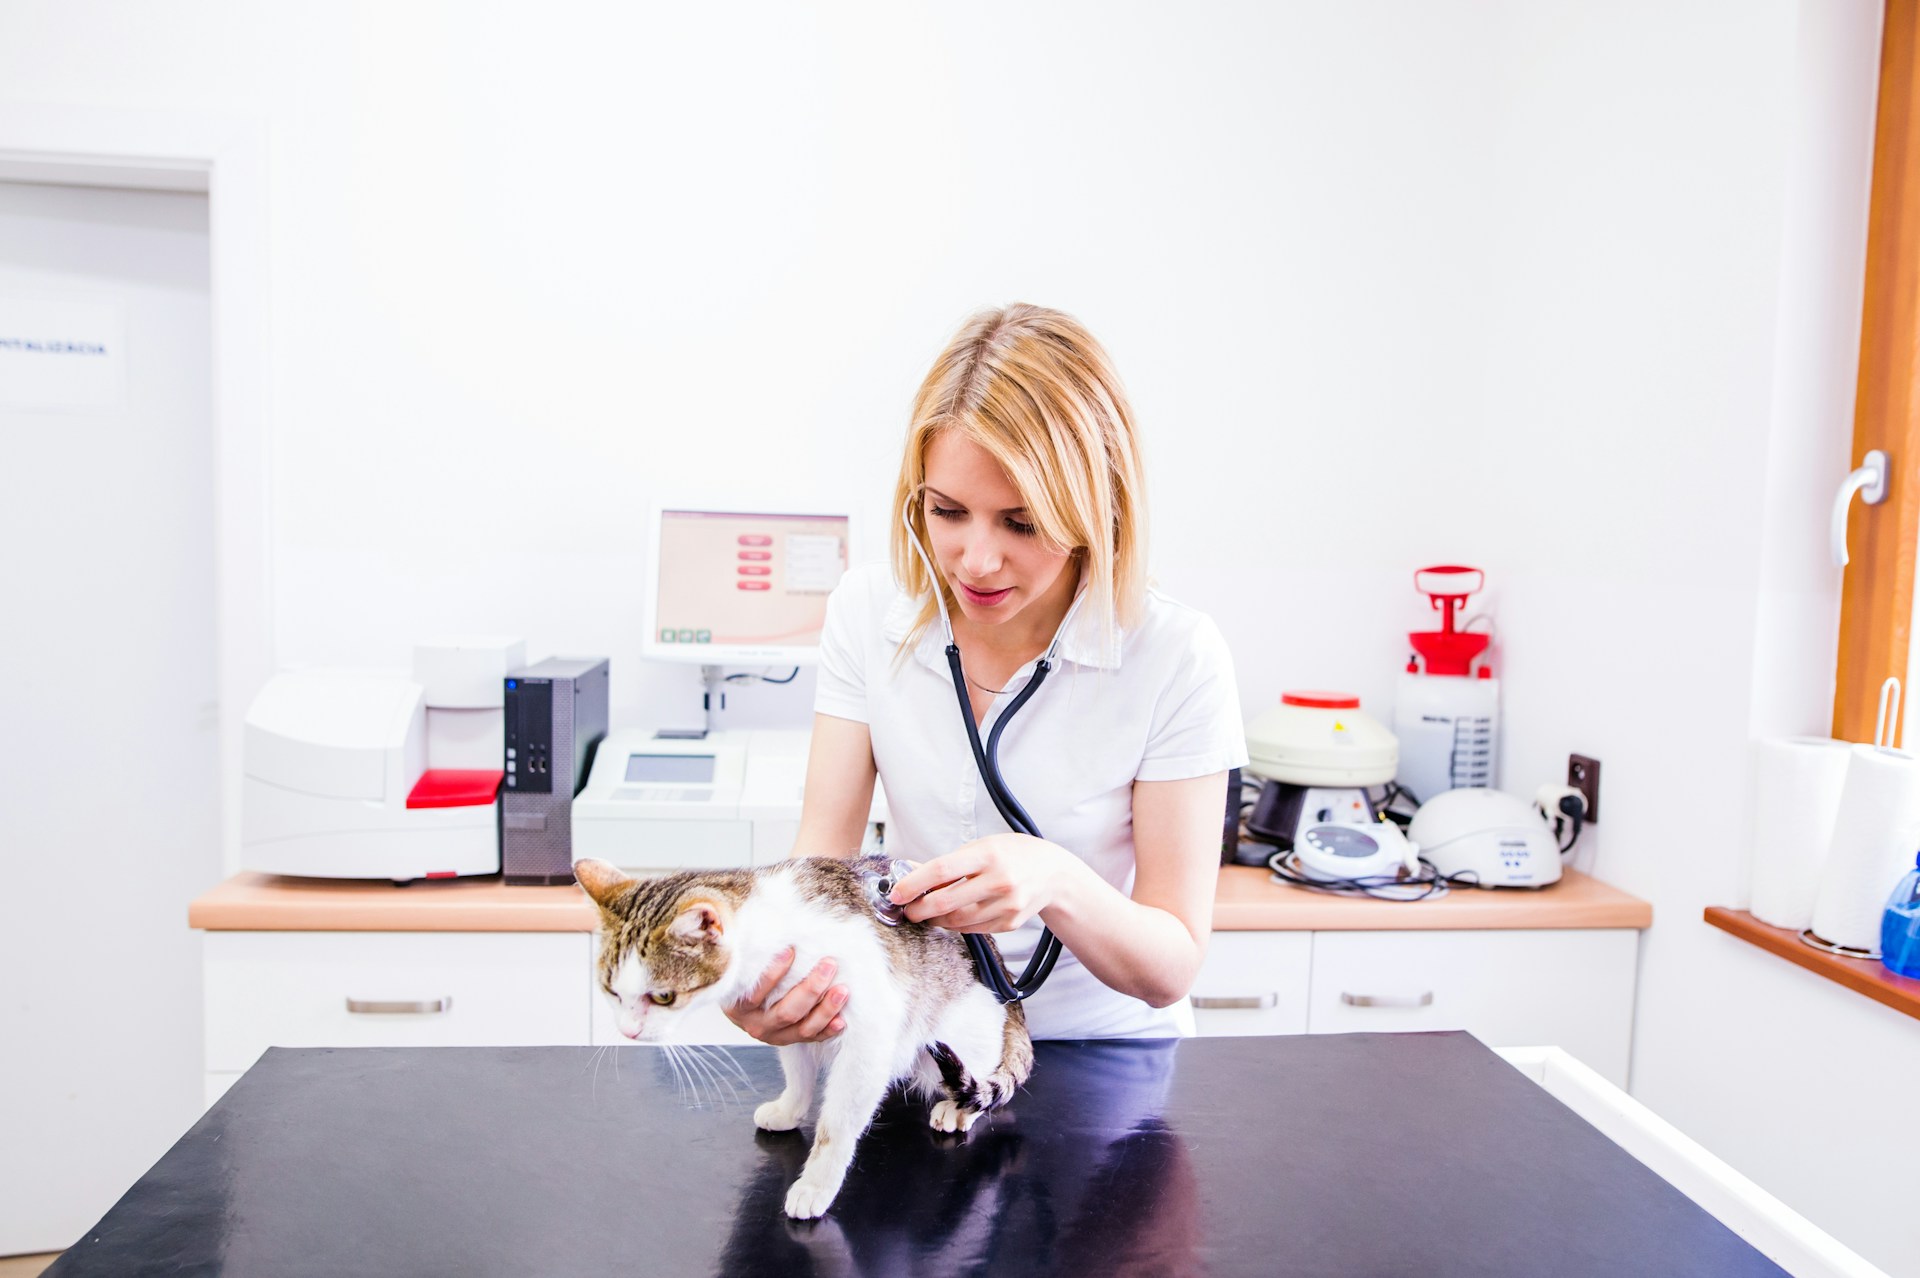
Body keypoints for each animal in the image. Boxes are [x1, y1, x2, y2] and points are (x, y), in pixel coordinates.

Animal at [572, 852, 1036, 1212]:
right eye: (612, 991)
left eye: (664, 996)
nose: (629, 1031)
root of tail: (1007, 989)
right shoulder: (791, 1015)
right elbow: (797, 1073)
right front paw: (789, 1109)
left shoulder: (871, 1032)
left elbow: (837, 1123)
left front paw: (817, 1184)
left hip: (953, 1038)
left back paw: (958, 1109)